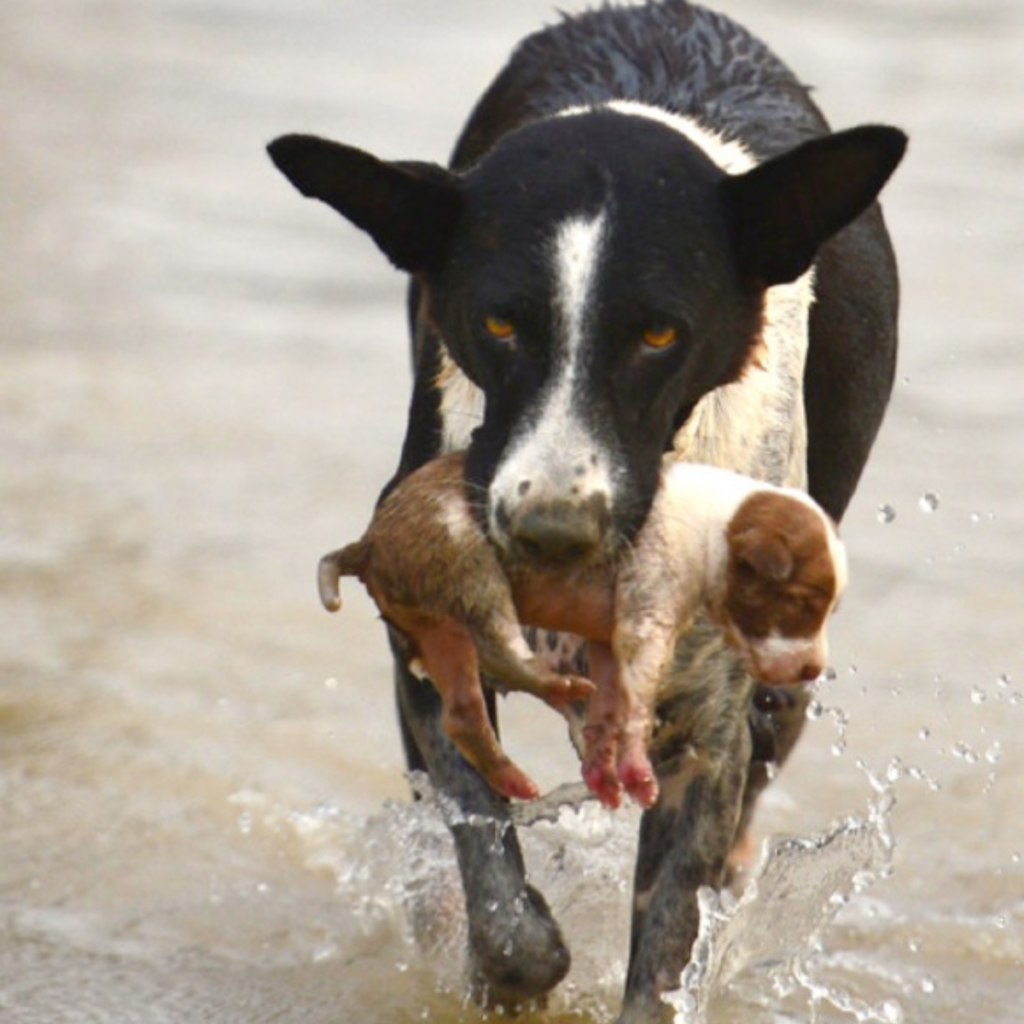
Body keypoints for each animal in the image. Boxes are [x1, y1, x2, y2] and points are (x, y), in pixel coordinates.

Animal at [319, 452, 847, 811]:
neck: (715, 529)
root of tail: (368, 543)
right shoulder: (645, 619)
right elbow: (635, 705)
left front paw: (602, 766)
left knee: (462, 713)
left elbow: (612, 703)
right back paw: (555, 686)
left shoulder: (609, 641)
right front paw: (635, 770)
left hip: (438, 629)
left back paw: (511, 776)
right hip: (468, 561)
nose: (812, 669)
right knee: (500, 644)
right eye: (803, 603)